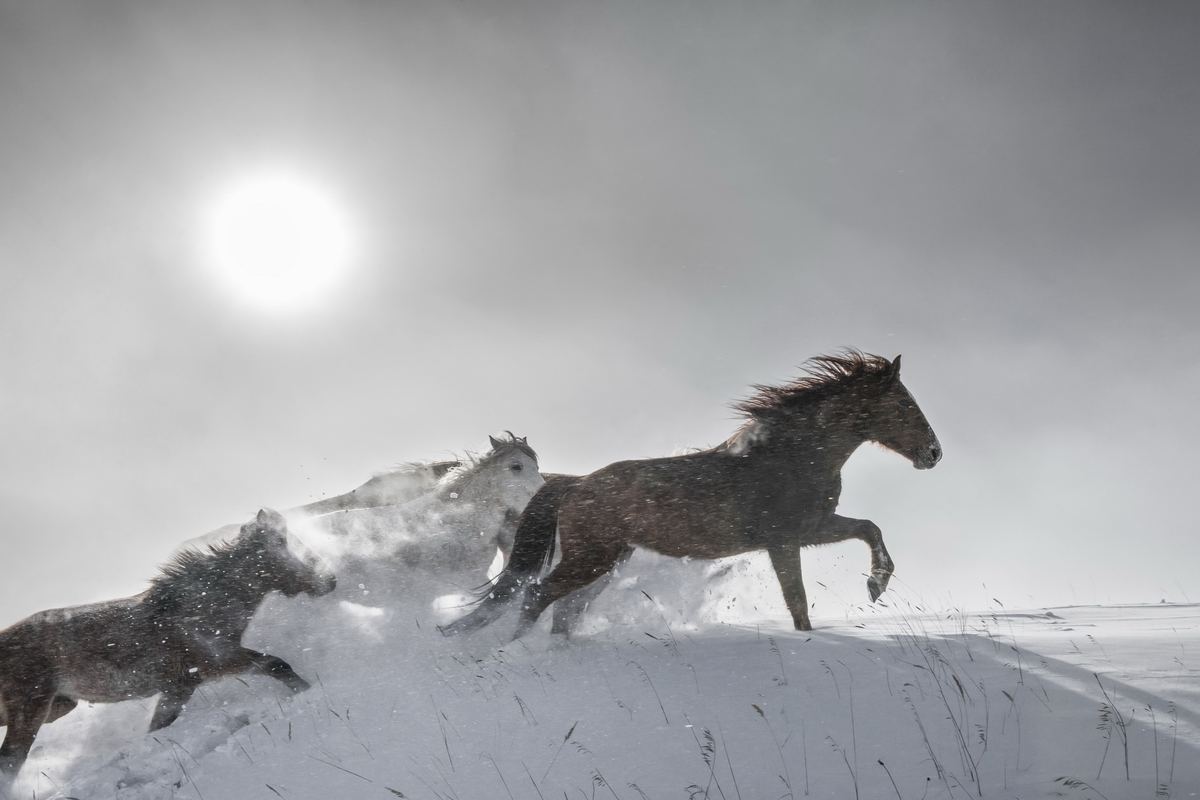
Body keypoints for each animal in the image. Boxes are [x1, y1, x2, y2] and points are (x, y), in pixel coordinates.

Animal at [0, 509, 336, 775]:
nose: (330, 580)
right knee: (10, 763)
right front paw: (309, 692)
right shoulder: (220, 661)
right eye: (281, 543)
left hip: (58, 706)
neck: (205, 604)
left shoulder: (179, 687)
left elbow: (158, 727)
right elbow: (277, 665)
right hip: (31, 710)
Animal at [440, 352, 941, 639]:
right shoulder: (786, 540)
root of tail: (576, 484)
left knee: (561, 609)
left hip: (606, 560)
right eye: (903, 404)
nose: (933, 453)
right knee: (538, 595)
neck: (791, 456)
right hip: (591, 559)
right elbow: (797, 599)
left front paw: (876, 585)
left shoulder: (811, 529)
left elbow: (869, 529)